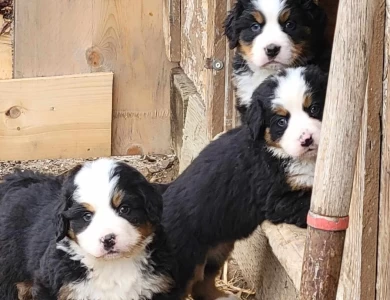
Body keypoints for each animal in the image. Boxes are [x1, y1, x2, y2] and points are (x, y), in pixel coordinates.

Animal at [0, 158, 177, 298]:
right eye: (86, 216)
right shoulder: (50, 287)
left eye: (124, 209)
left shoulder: (158, 286)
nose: (108, 239)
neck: (112, 267)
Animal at [163, 66, 328, 300]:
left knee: (201, 284)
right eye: (281, 121)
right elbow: (307, 201)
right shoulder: (277, 199)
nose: (307, 140)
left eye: (314, 108)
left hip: (218, 248)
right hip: (183, 264)